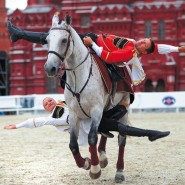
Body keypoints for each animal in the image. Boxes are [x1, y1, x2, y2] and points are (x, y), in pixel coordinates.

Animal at [44, 13, 132, 184]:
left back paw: (119, 170)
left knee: (121, 139)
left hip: (122, 106)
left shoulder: (96, 110)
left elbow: (92, 138)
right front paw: (86, 163)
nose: (49, 67)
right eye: (47, 40)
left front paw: (95, 169)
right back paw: (103, 156)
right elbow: (73, 144)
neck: (78, 76)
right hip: (108, 107)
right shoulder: (74, 114)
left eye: (64, 40)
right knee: (105, 131)